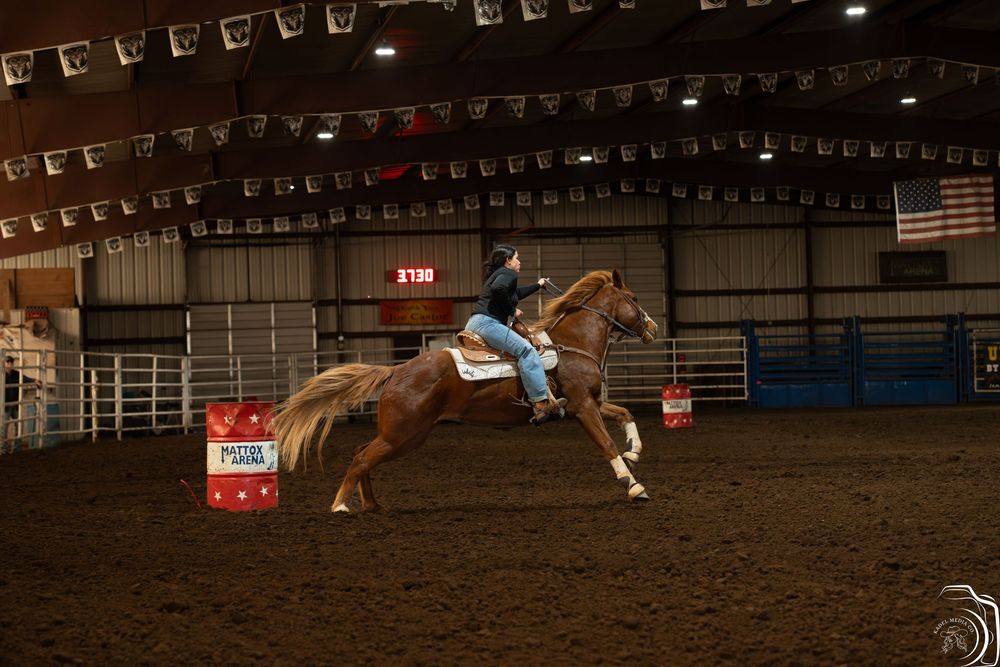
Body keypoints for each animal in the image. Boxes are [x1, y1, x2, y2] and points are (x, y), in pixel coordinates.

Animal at [272, 269, 659, 512]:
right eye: (634, 297)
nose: (653, 328)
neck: (572, 344)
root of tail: (396, 371)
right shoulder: (582, 407)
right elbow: (606, 444)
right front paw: (634, 486)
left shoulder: (589, 403)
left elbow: (626, 414)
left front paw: (635, 451)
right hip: (403, 434)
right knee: (361, 458)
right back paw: (340, 505)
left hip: (405, 435)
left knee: (361, 453)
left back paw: (371, 504)